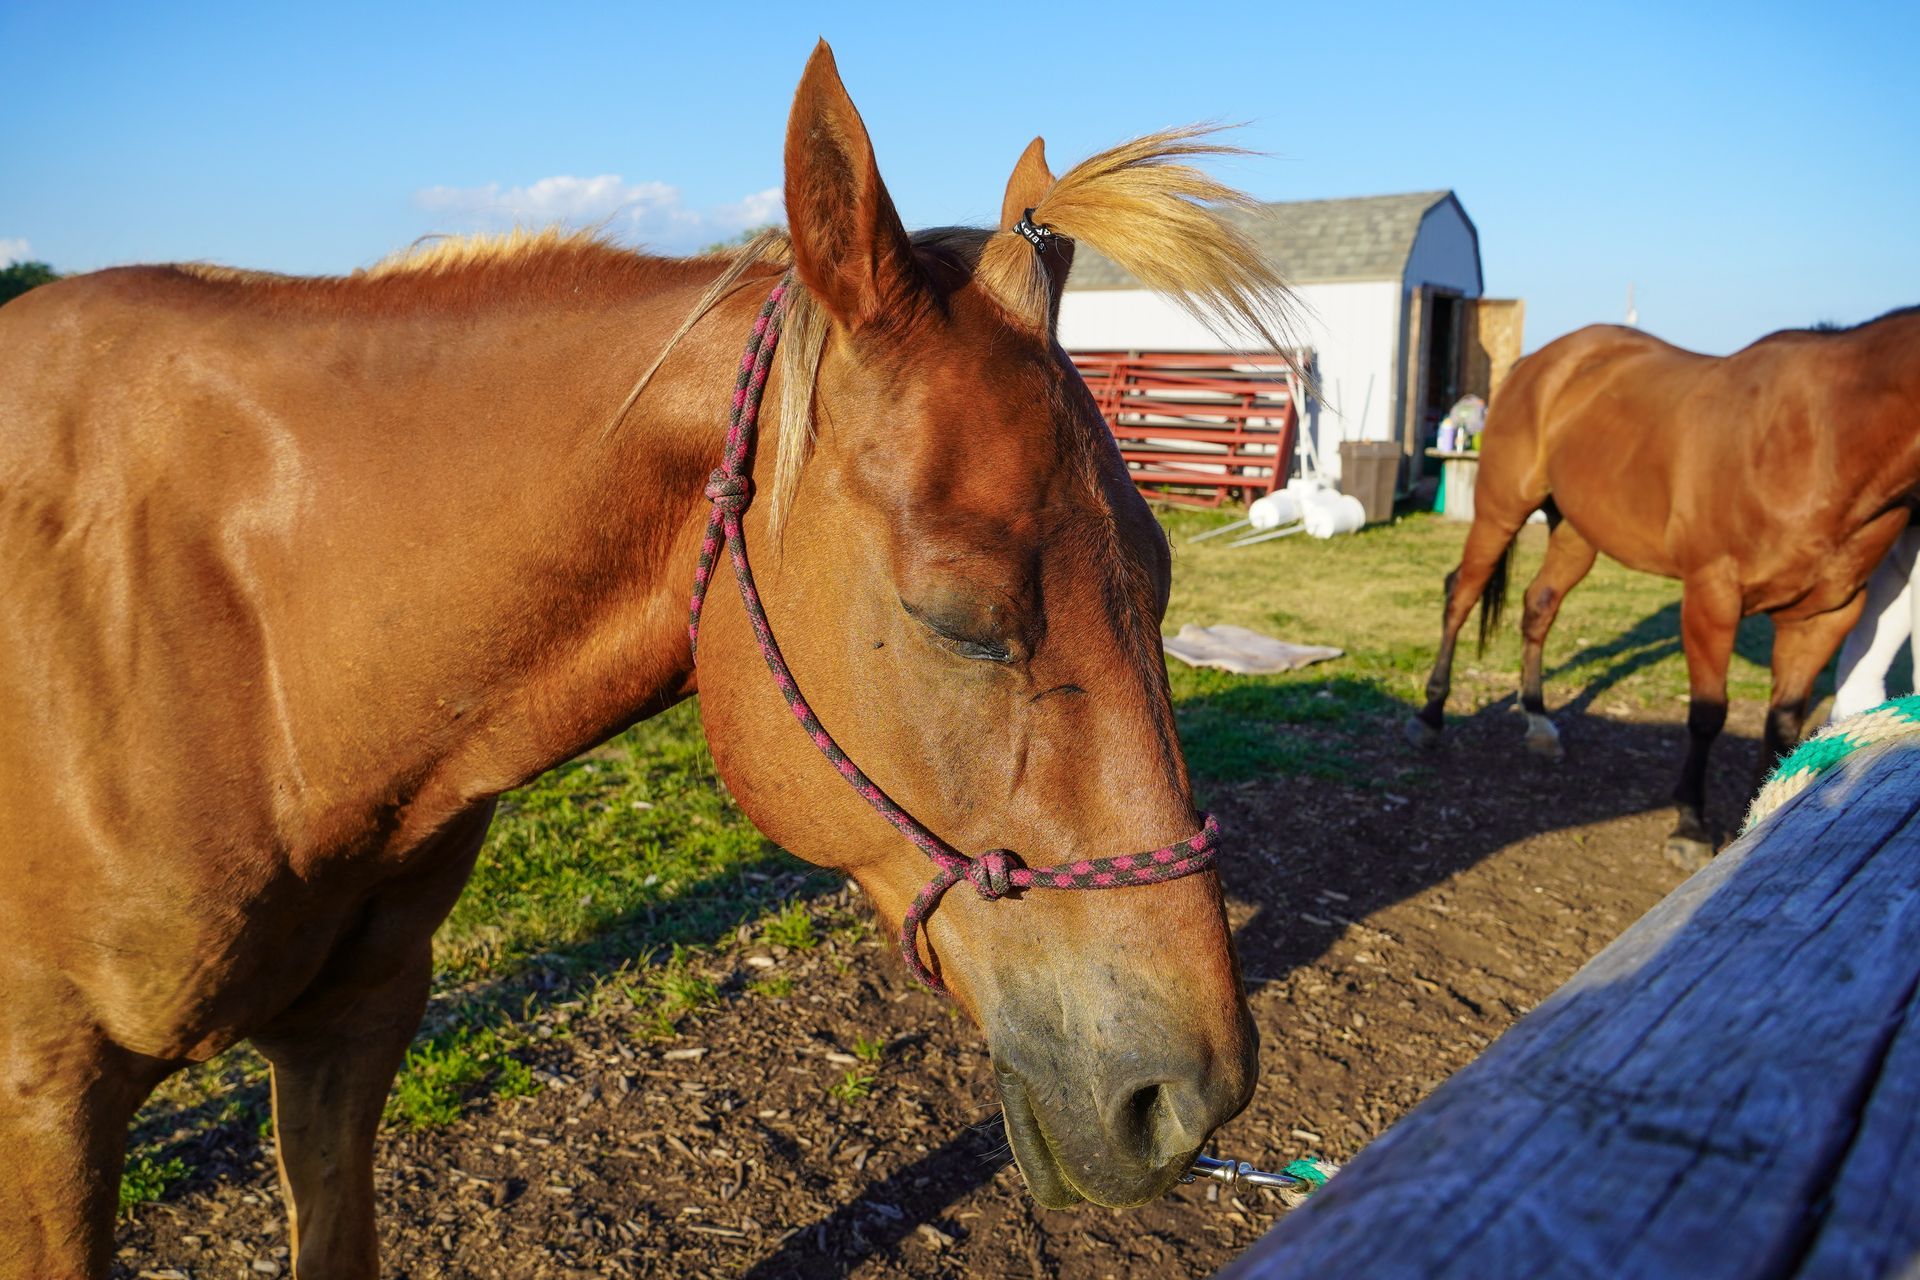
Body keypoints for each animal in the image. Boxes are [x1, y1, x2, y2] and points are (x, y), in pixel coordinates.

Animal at [0, 42, 1296, 1277]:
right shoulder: (47, 1099)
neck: (250, 641)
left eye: (1161, 580)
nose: (1190, 1096)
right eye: (961, 617)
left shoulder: (353, 1023)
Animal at [1406, 309, 1920, 868]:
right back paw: (1430, 717)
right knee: (1461, 596)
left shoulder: (1824, 617)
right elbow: (1707, 715)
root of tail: (1539, 363)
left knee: (1538, 607)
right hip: (1500, 510)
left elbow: (1783, 726)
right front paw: (1690, 826)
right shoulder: (1712, 597)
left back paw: (1539, 721)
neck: (1820, 438)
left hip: (1576, 533)